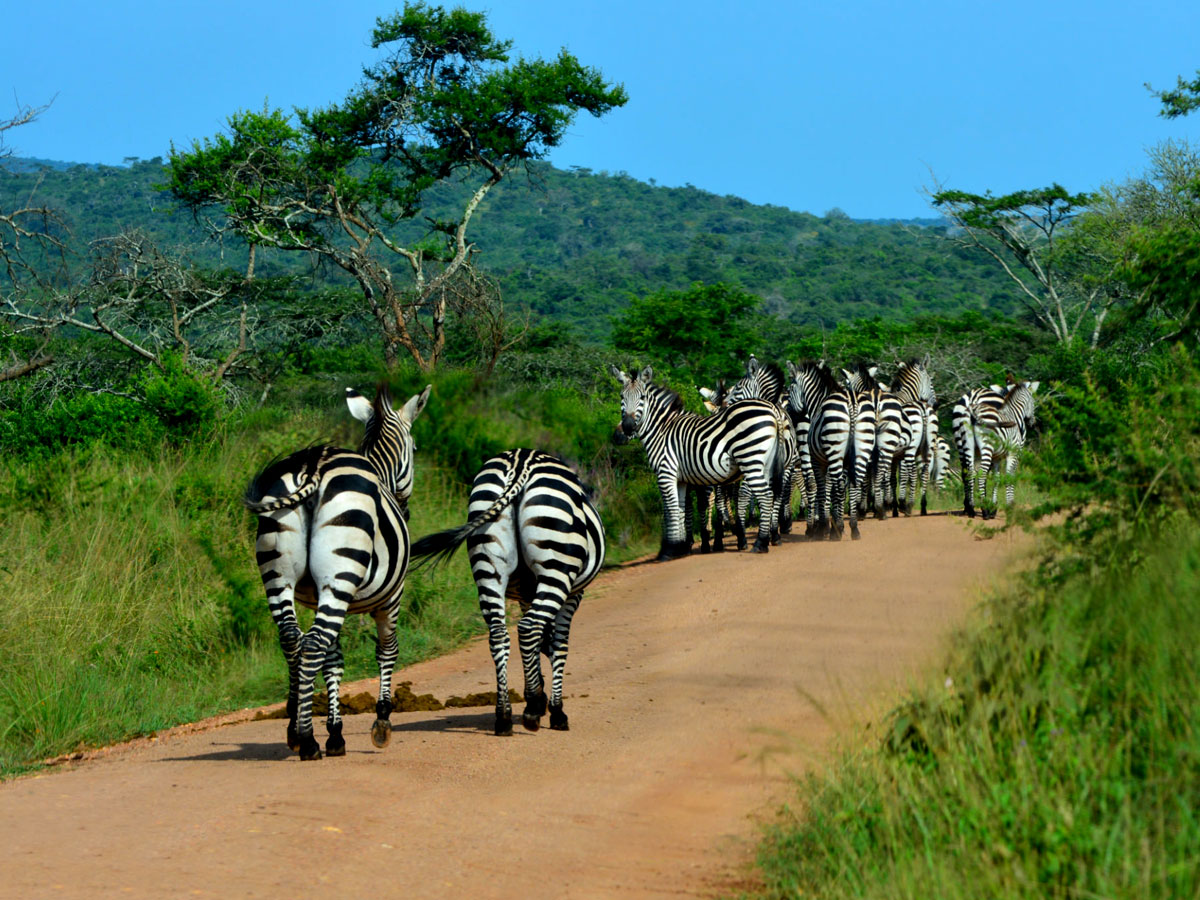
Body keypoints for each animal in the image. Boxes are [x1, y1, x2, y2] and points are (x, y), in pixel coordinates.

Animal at [242, 386, 432, 763]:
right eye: (415, 448)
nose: (405, 507)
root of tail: (312, 467)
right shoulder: (393, 596)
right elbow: (387, 650)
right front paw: (381, 722)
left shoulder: (319, 597)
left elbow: (334, 659)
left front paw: (335, 732)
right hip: (340, 574)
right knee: (313, 642)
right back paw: (307, 740)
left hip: (279, 576)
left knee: (293, 640)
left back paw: (295, 729)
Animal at [412, 453, 604, 734]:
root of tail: (521, 462)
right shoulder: (573, 595)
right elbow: (558, 645)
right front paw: (554, 709)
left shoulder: (526, 595)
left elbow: (543, 643)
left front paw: (538, 694)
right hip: (556, 566)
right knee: (528, 628)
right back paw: (533, 710)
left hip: (487, 563)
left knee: (499, 634)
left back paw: (503, 715)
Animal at [609, 364, 787, 556]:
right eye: (621, 397)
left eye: (642, 397)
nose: (624, 430)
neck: (662, 430)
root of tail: (772, 410)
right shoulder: (681, 479)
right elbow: (681, 508)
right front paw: (681, 545)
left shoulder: (666, 473)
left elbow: (670, 509)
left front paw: (669, 550)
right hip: (767, 464)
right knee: (770, 494)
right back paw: (766, 538)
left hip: (750, 460)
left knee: (765, 495)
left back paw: (760, 543)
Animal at [782, 360, 878, 542]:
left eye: (790, 388)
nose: (790, 415)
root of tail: (852, 400)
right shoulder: (843, 462)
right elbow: (835, 489)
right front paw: (832, 525)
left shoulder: (819, 460)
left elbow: (823, 489)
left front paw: (824, 527)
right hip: (862, 447)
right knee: (855, 483)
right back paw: (854, 528)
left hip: (830, 449)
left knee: (831, 485)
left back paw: (835, 528)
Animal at [950, 379, 1036, 518]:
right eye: (1033, 402)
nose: (1032, 424)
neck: (1013, 414)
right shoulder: (1013, 452)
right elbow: (1009, 476)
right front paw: (1009, 505)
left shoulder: (997, 457)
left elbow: (996, 479)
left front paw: (994, 506)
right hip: (986, 447)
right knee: (981, 474)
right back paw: (984, 509)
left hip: (965, 445)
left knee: (969, 472)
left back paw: (971, 508)